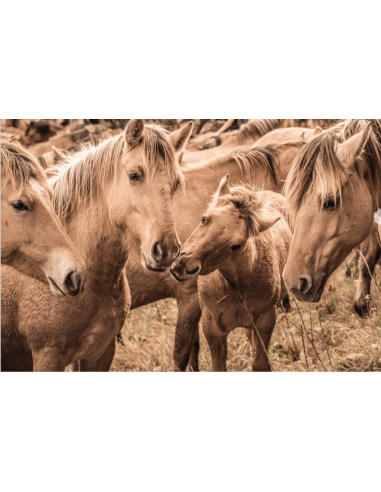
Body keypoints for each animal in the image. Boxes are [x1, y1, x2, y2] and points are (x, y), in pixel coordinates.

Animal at [168, 181, 290, 372]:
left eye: (235, 245)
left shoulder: (265, 320)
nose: (183, 266)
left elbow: (260, 364)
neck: (235, 287)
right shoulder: (212, 326)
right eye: (204, 219)